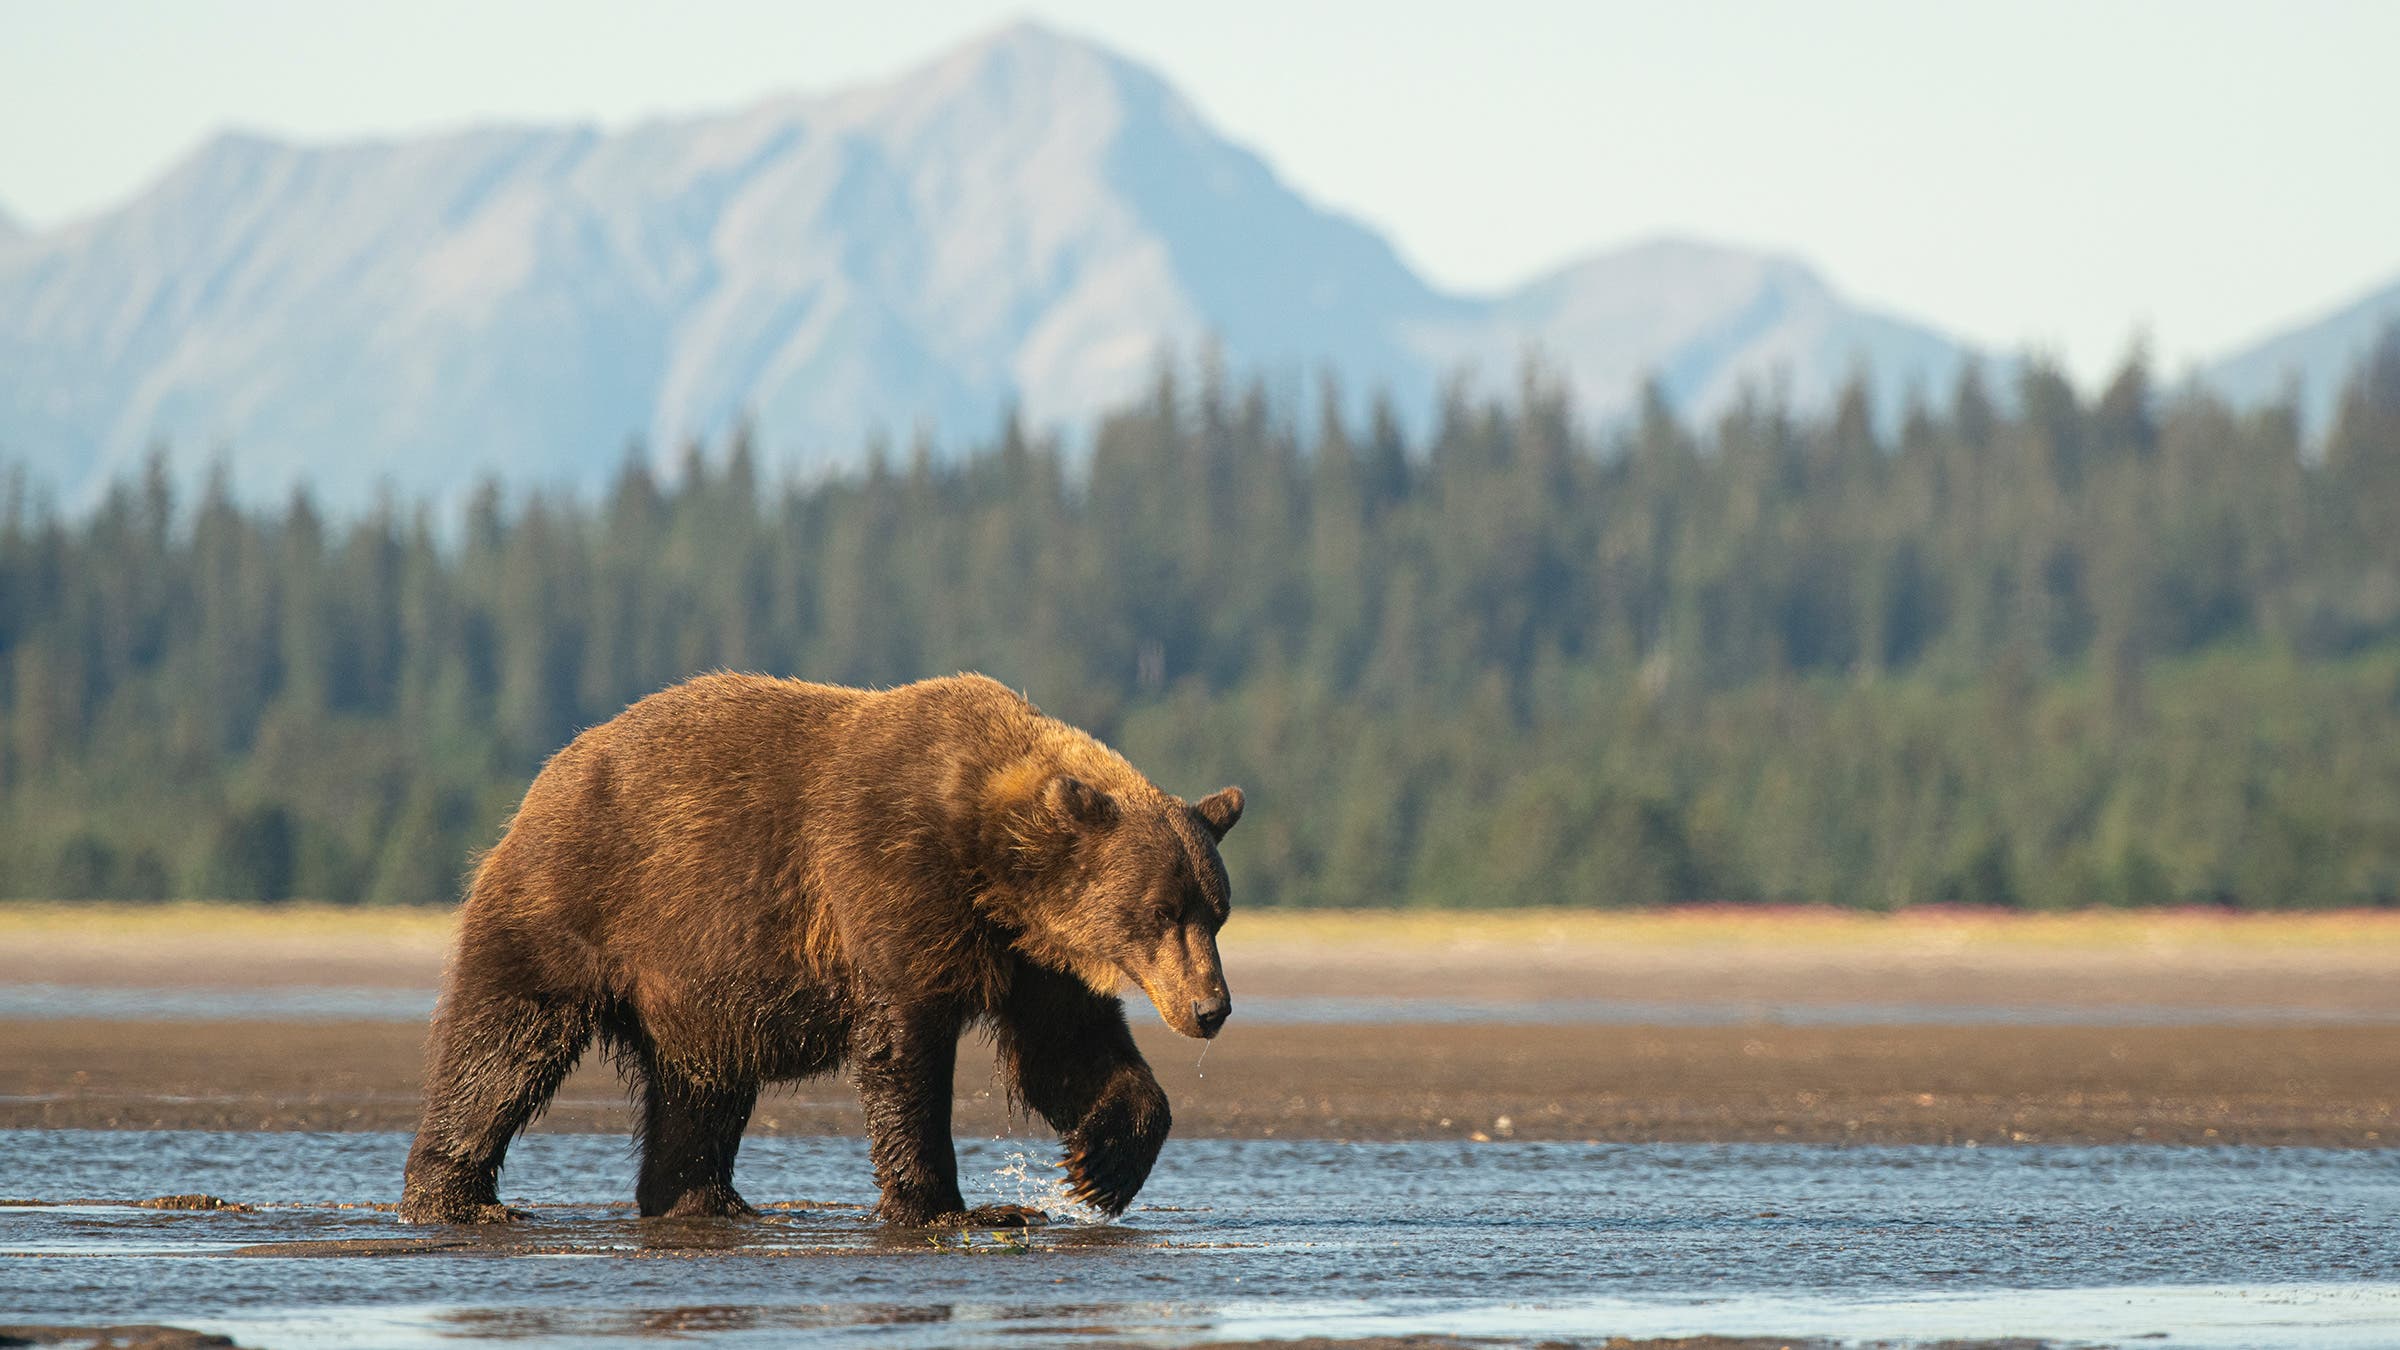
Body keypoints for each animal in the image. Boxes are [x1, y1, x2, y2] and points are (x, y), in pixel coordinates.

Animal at [398, 672, 1241, 1227]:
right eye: (1161, 910)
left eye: (1217, 911)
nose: (1212, 1008)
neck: (993, 864)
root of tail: (551, 773)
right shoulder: (892, 881)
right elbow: (905, 1049)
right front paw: (949, 1206)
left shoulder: (1031, 955)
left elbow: (1067, 1050)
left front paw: (1099, 1167)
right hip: (581, 903)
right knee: (502, 1045)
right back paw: (457, 1198)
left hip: (695, 987)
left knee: (700, 1089)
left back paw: (704, 1198)